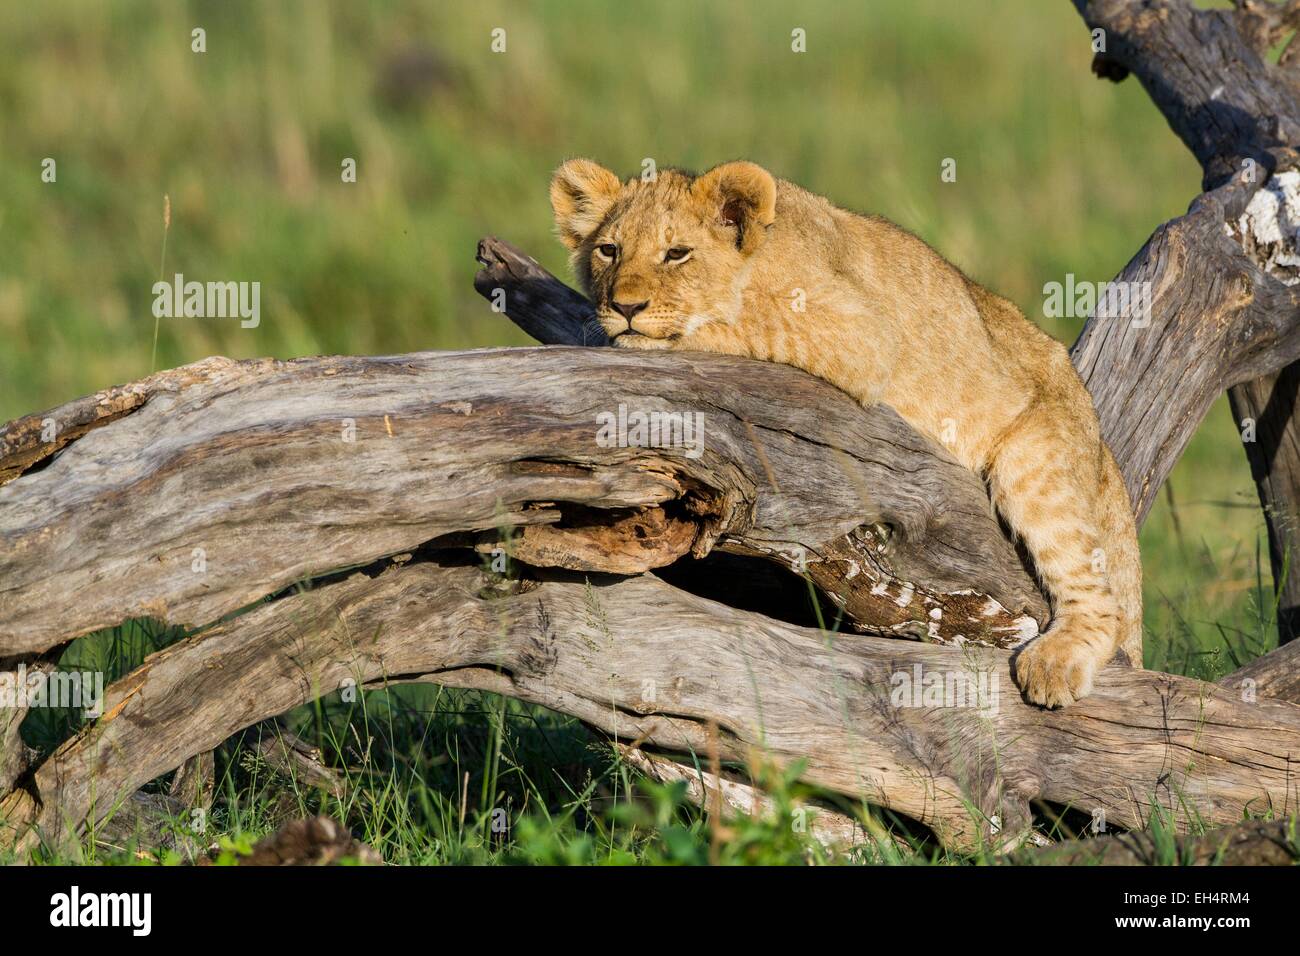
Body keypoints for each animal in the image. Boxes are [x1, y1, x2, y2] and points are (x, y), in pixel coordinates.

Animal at [550, 158, 1141, 707]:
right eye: (608, 251)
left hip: (1035, 461)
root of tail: (1099, 441)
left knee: (1101, 601)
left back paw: (1055, 664)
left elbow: (740, 323)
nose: (625, 307)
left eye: (676, 254)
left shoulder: (860, 332)